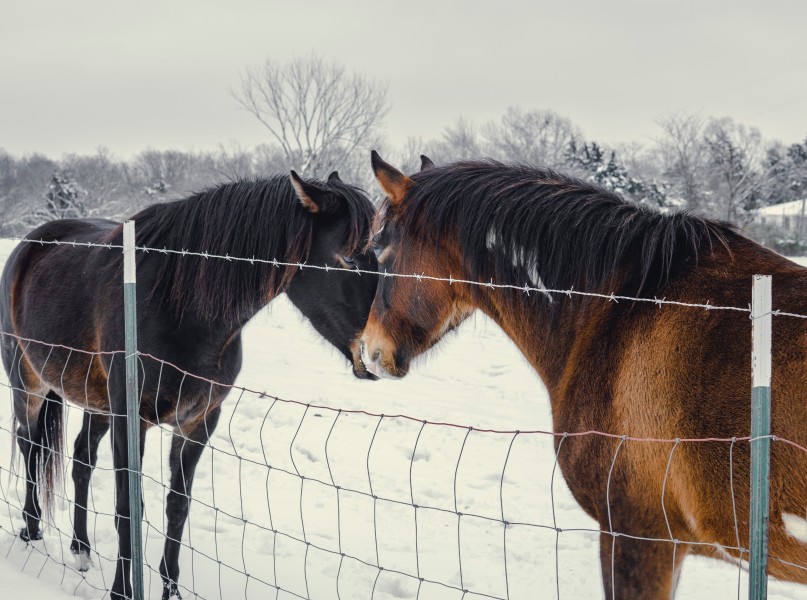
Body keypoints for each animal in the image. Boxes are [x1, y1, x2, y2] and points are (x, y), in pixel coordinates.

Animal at [0, 170, 378, 600]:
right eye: (350, 257)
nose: (381, 350)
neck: (179, 309)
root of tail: (29, 245)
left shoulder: (198, 423)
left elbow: (178, 506)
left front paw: (171, 589)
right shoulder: (132, 420)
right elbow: (128, 509)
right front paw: (122, 591)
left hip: (96, 401)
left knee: (81, 459)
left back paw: (80, 549)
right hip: (28, 384)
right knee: (29, 444)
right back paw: (31, 529)